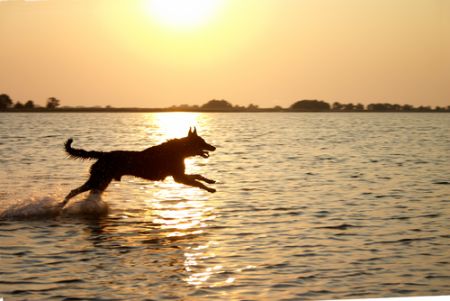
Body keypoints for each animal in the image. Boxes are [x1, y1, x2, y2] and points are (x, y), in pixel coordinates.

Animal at [62, 126, 216, 206]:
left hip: (101, 182)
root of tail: (103, 155)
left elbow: (198, 176)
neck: (179, 150)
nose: (214, 147)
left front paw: (210, 181)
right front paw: (209, 189)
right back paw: (62, 205)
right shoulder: (179, 178)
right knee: (73, 191)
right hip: (97, 180)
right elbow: (197, 182)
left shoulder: (179, 175)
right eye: (202, 141)